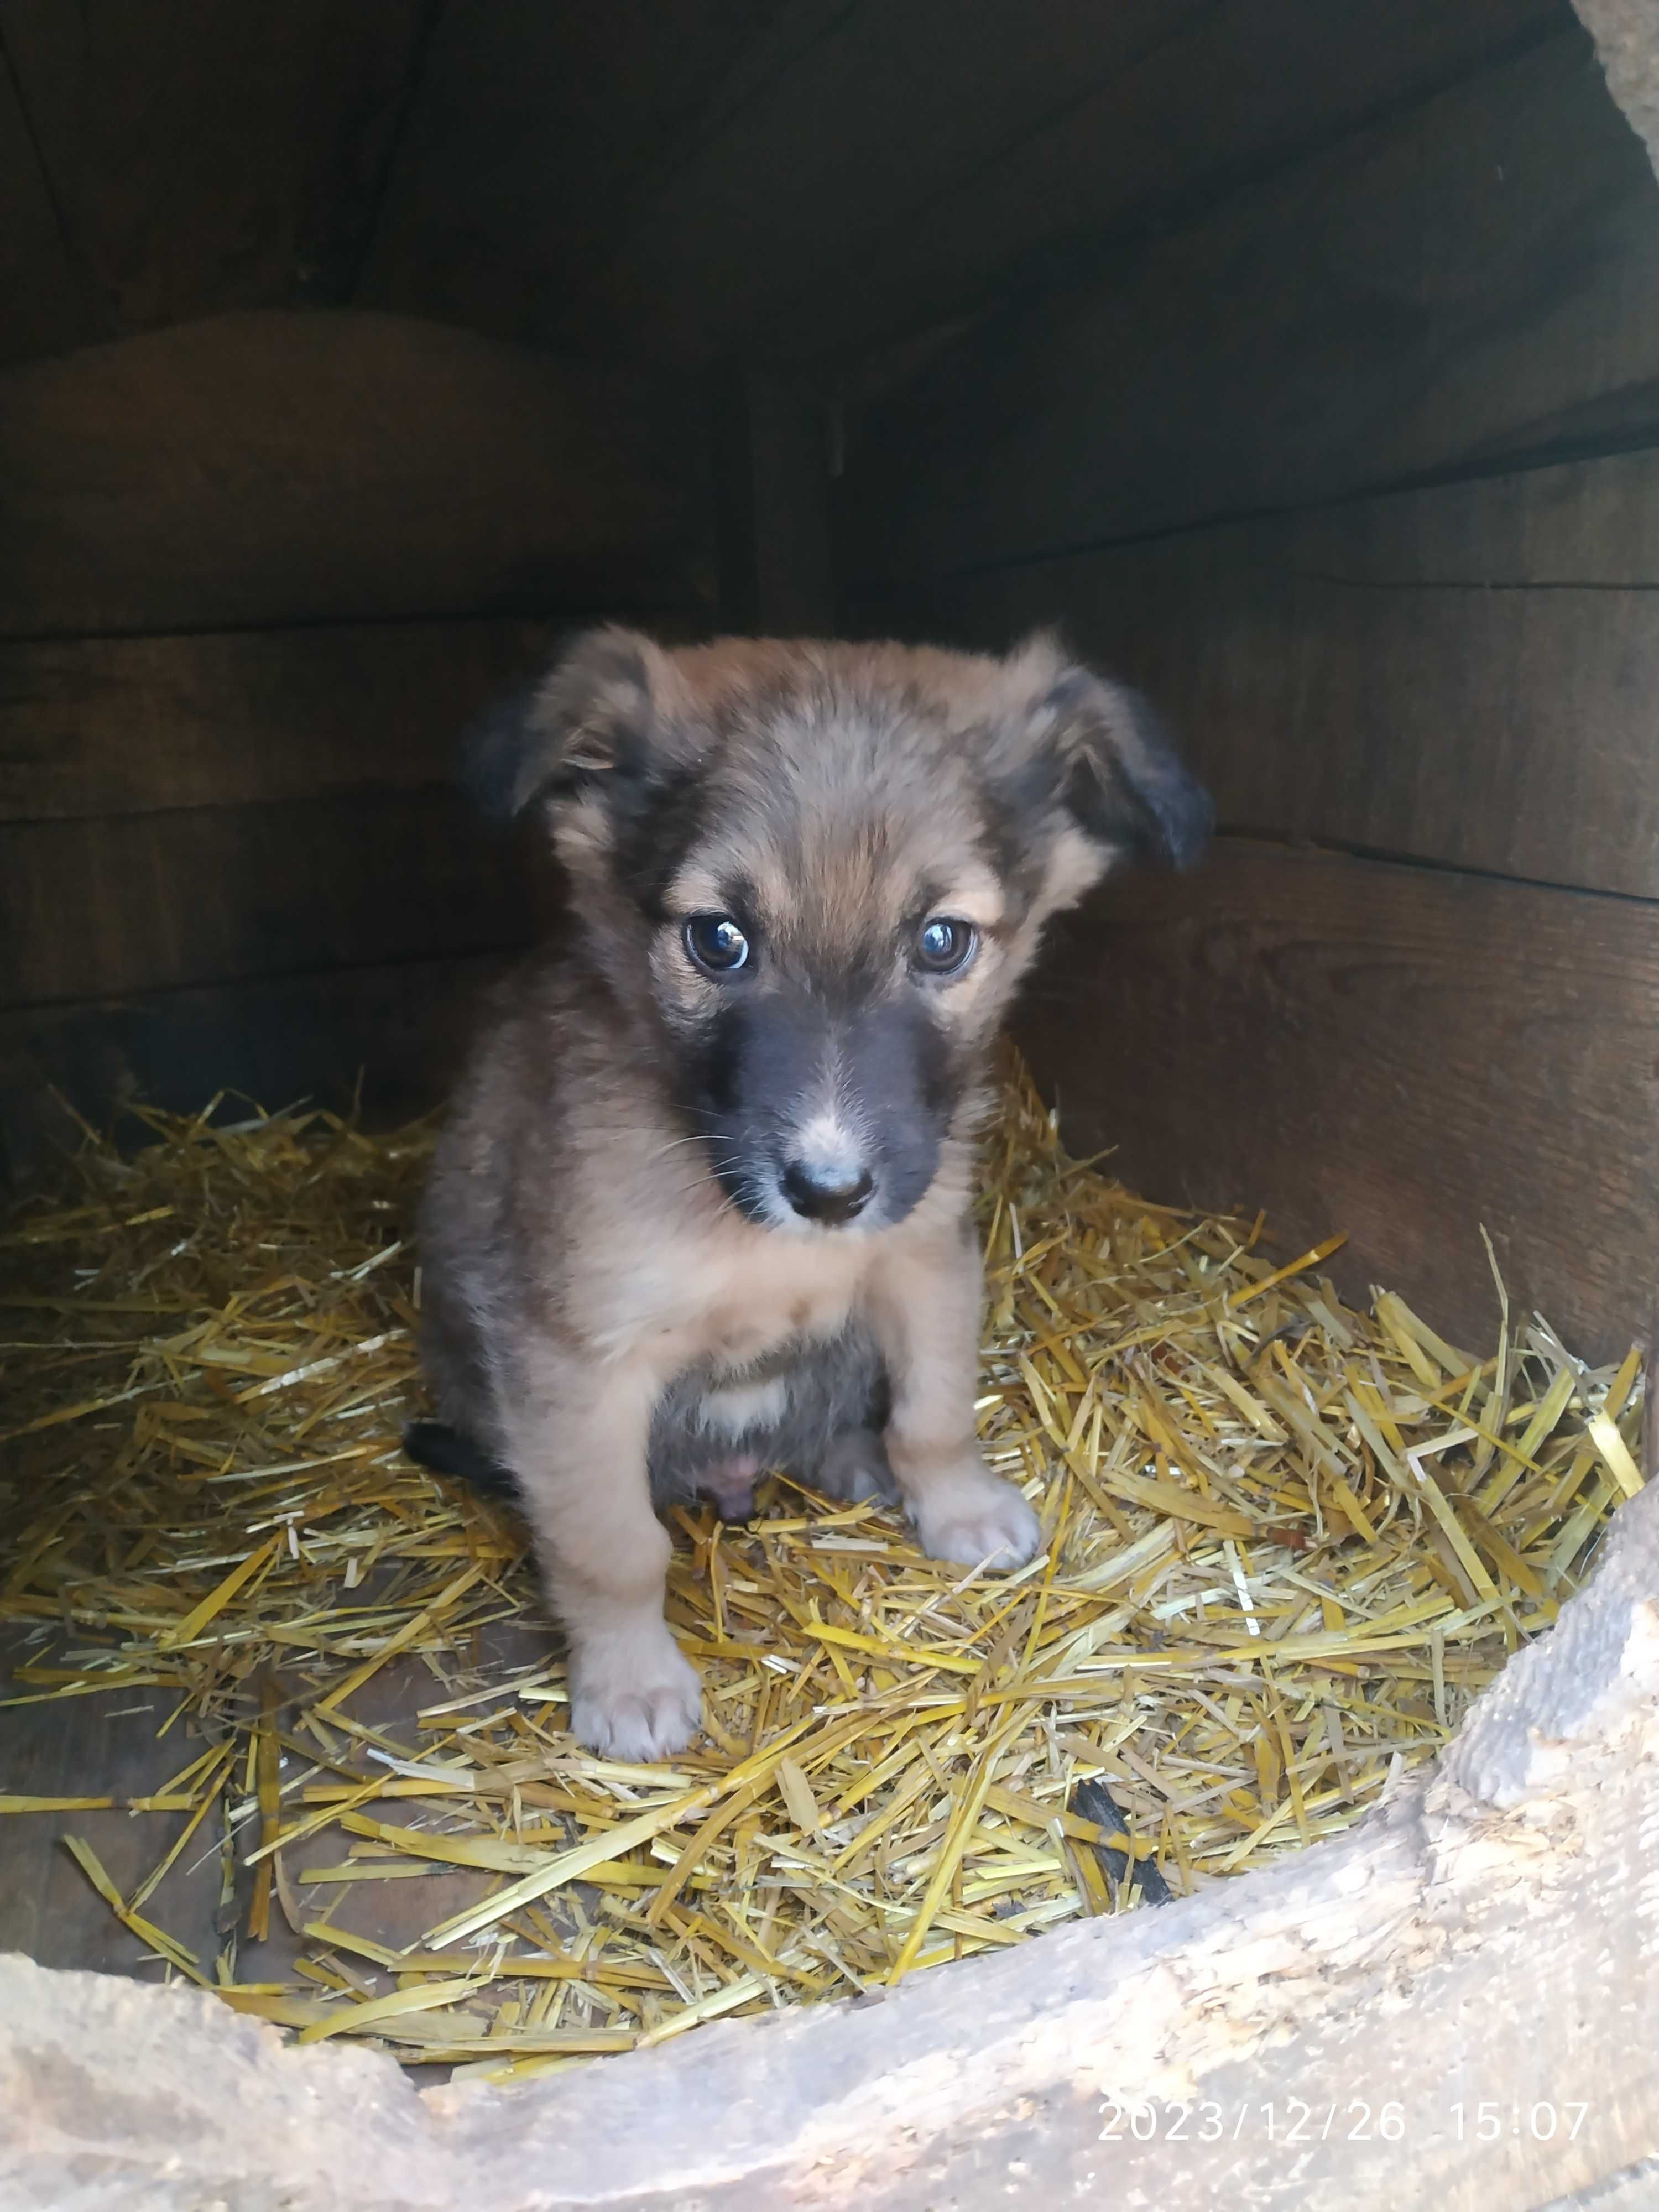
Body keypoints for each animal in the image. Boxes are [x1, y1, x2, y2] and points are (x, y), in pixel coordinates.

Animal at [403, 628, 1212, 1761]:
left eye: (942, 941)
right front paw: (631, 1681)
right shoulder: (571, 1355)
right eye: (719, 939)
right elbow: (612, 1545)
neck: (753, 1235)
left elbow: (935, 1412)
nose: (829, 1192)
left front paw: (955, 1507)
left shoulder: (924, 1255)